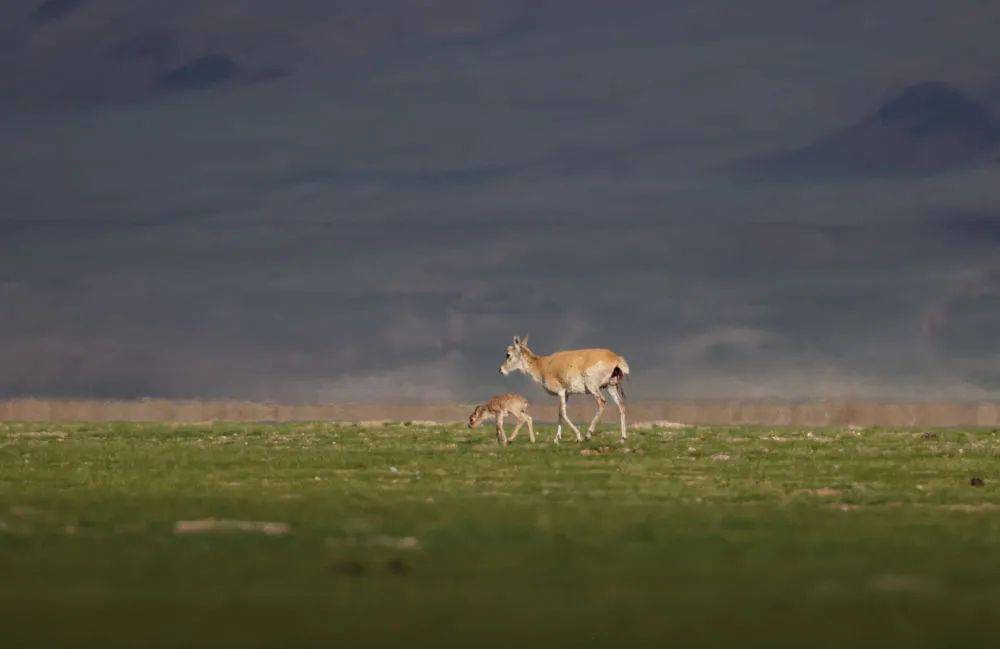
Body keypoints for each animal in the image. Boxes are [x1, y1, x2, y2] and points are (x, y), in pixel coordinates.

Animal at [500, 336, 632, 442]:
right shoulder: (566, 394)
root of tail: (615, 358)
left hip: (593, 387)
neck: (542, 365)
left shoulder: (561, 392)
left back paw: (588, 434)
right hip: (611, 386)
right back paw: (622, 438)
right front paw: (556, 438)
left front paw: (578, 436)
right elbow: (559, 412)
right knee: (621, 405)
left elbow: (563, 413)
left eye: (508, 354)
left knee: (602, 402)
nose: (501, 370)